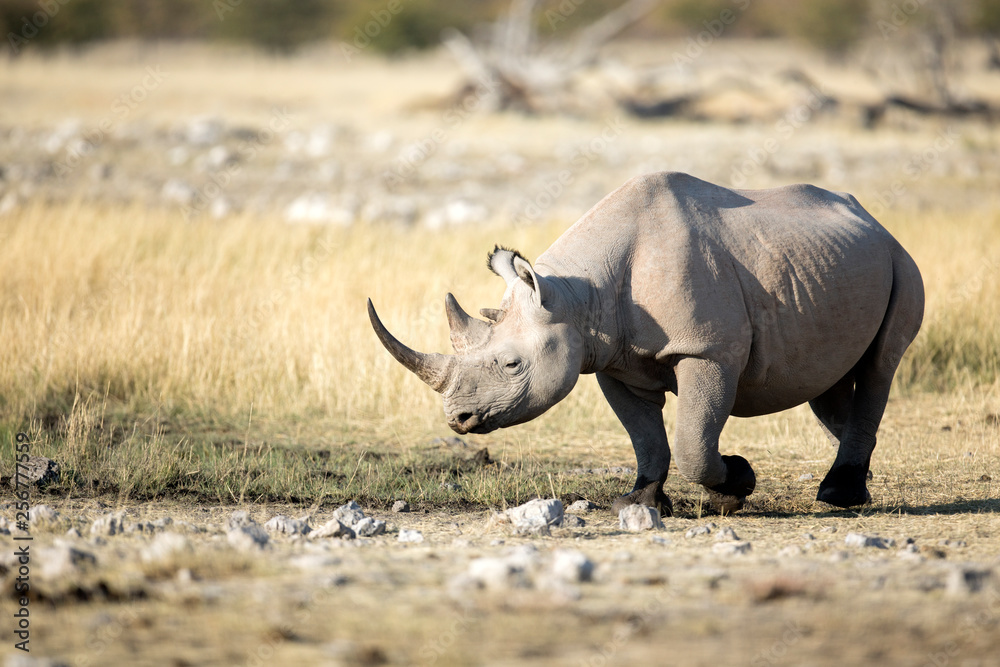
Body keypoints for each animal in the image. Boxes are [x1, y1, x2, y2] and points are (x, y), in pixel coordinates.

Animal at [368, 172, 924, 515]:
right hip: (836, 264)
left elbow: (693, 440)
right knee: (829, 380)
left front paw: (736, 486)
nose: (457, 419)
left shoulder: (706, 349)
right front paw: (640, 504)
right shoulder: (611, 359)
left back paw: (840, 495)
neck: (576, 295)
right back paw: (851, 482)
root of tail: (873, 219)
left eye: (510, 365)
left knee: (880, 365)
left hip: (901, 259)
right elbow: (646, 436)